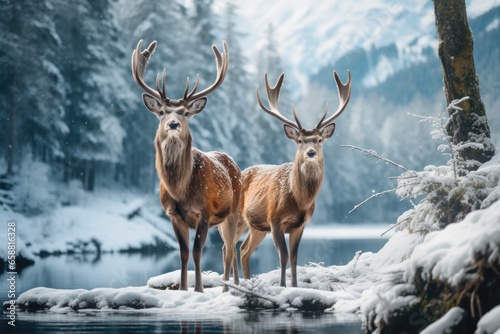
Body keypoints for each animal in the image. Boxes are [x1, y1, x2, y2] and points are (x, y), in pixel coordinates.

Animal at [130, 39, 241, 292]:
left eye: (186, 112)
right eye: (162, 111)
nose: (173, 124)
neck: (180, 189)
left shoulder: (205, 212)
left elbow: (198, 252)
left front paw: (198, 289)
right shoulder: (173, 215)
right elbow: (183, 253)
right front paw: (182, 288)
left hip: (234, 212)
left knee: (232, 249)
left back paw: (228, 289)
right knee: (225, 249)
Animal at [237, 70, 352, 288]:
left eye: (319, 139)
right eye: (299, 140)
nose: (311, 152)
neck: (298, 200)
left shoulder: (300, 225)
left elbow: (294, 258)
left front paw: (294, 286)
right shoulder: (274, 219)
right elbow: (282, 256)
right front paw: (283, 286)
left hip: (256, 227)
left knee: (244, 250)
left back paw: (245, 282)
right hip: (236, 216)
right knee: (228, 247)